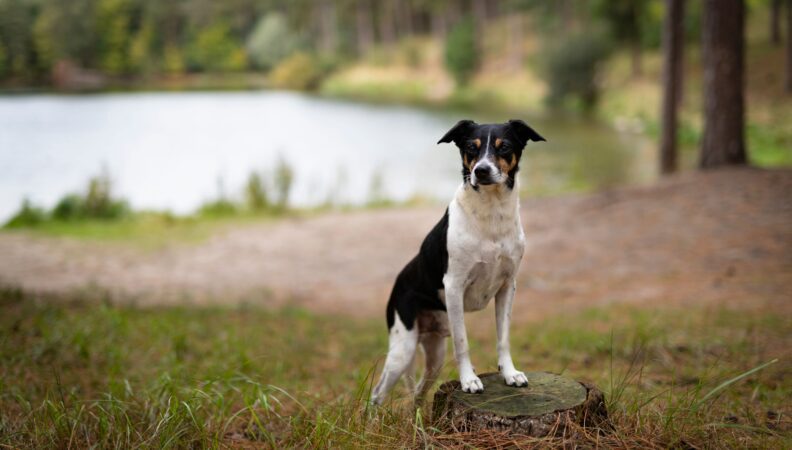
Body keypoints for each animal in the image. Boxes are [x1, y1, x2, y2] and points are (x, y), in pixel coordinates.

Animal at [370, 118, 544, 404]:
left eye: (504, 146)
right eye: (471, 147)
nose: (481, 171)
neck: (491, 214)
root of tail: (396, 286)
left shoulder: (507, 286)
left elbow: (503, 338)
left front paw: (510, 374)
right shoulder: (454, 286)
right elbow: (462, 343)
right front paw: (469, 380)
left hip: (434, 356)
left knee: (418, 392)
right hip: (402, 348)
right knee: (378, 393)